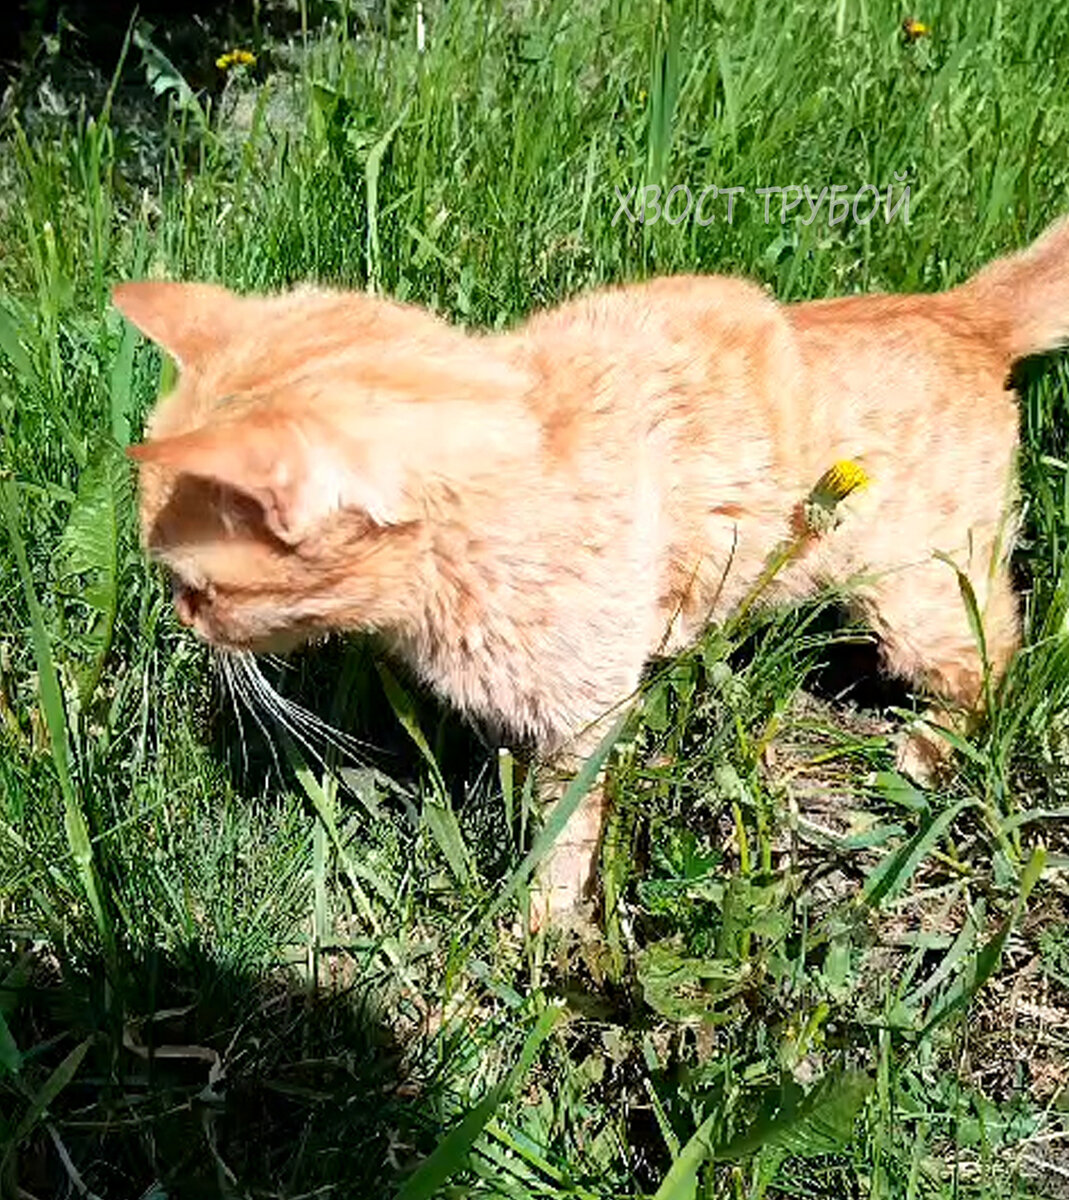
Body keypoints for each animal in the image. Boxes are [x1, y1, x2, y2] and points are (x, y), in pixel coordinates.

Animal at [116, 218, 1069, 926]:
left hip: (919, 596)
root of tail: (961, 312)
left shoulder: (586, 717)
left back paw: (925, 747)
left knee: (995, 655)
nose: (181, 620)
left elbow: (564, 833)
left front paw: (538, 930)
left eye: (199, 589)